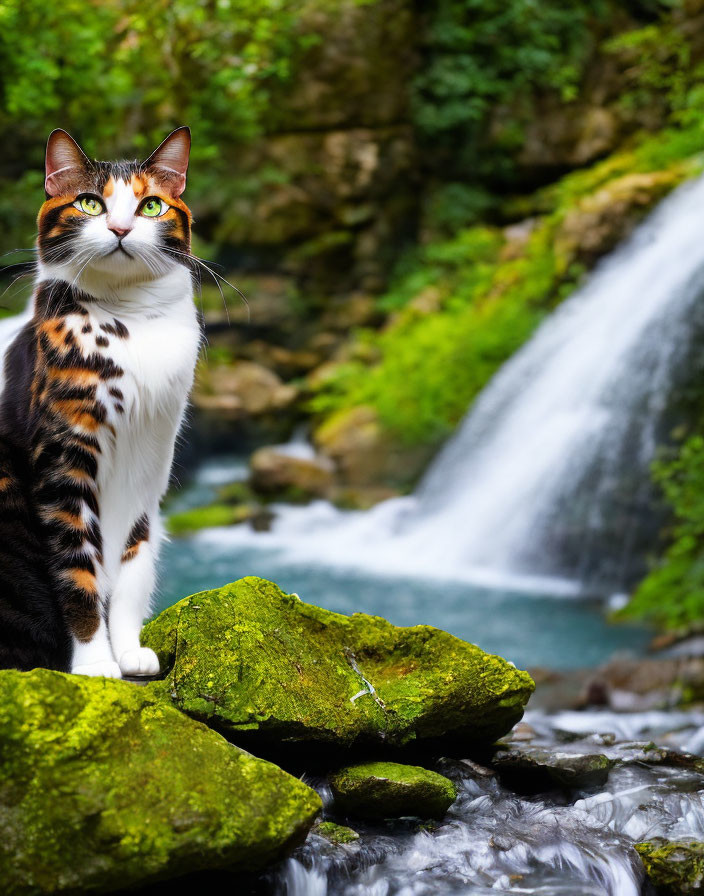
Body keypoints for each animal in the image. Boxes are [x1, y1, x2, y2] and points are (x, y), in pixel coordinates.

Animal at [0, 124, 201, 672]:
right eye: (91, 203)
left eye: (151, 206)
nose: (120, 227)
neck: (132, 320)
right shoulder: (63, 459)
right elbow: (78, 569)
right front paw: (95, 664)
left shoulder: (148, 465)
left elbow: (129, 568)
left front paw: (127, 651)